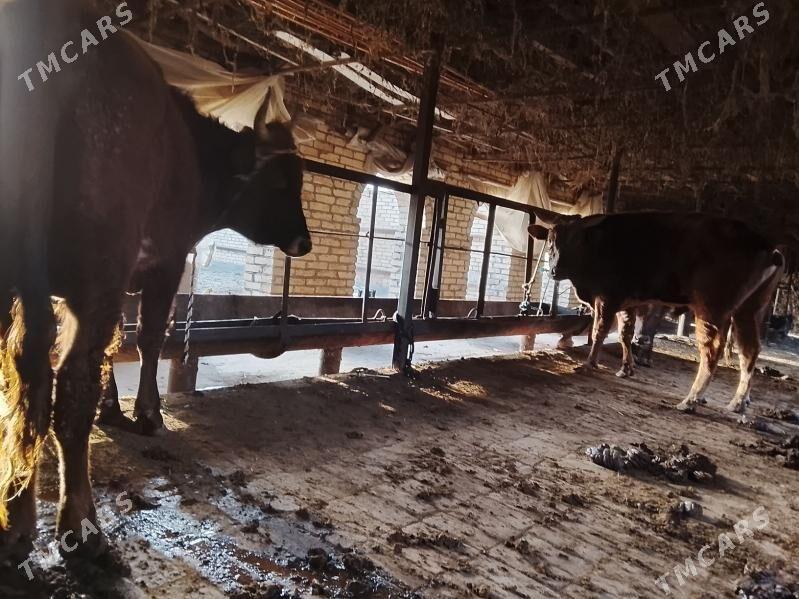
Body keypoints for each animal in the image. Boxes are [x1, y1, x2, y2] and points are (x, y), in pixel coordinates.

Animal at [0, 0, 311, 562]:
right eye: (281, 183)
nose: (305, 240)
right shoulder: (164, 263)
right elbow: (146, 339)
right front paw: (147, 412)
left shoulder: (126, 280)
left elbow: (117, 345)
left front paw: (113, 408)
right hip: (95, 267)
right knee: (65, 386)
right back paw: (80, 523)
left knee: (26, 379)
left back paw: (15, 518)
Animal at [528, 208, 784, 415]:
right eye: (550, 240)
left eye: (576, 240)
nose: (555, 270)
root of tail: (768, 247)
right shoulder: (627, 302)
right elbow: (625, 334)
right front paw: (626, 368)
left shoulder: (607, 297)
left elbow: (599, 331)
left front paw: (589, 364)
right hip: (749, 308)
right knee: (750, 350)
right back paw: (738, 402)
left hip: (712, 306)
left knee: (712, 349)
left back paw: (691, 400)